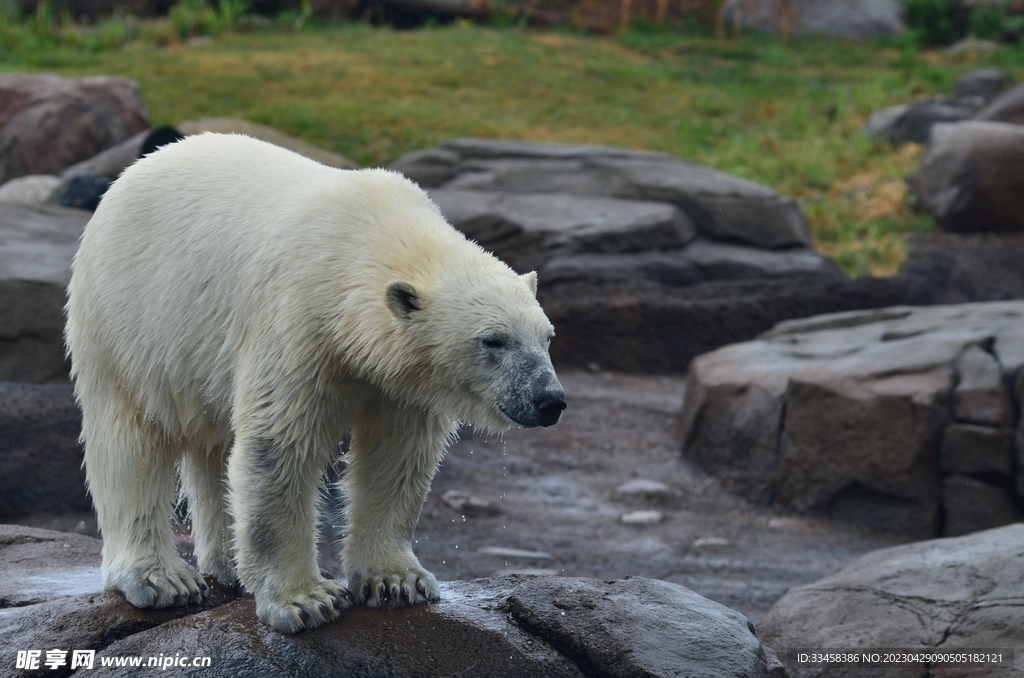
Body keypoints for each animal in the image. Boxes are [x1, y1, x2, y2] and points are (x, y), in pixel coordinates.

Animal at [65, 133, 566, 634]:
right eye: (493, 340)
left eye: (547, 337)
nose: (550, 400)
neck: (363, 238)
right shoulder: (297, 323)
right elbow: (280, 448)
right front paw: (305, 600)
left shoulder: (400, 381)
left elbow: (398, 457)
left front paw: (396, 581)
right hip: (129, 322)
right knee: (130, 440)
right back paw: (162, 578)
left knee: (214, 447)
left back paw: (228, 565)